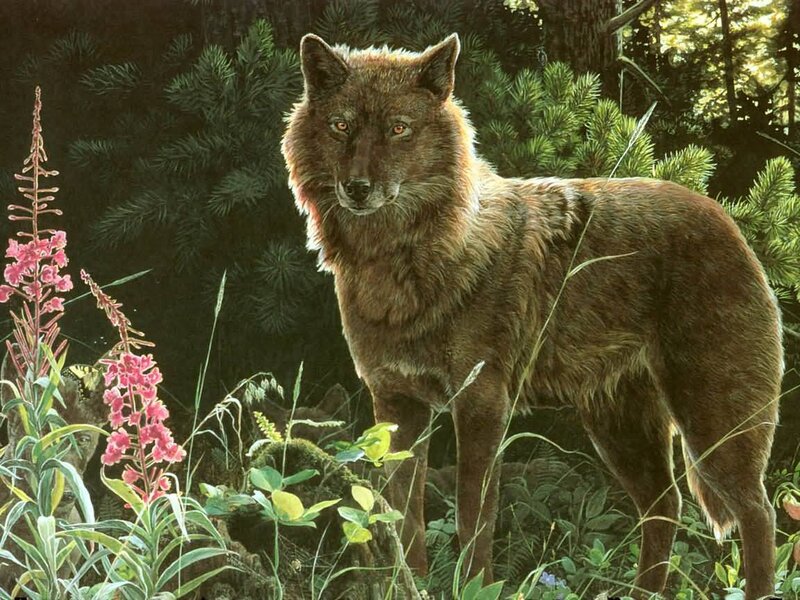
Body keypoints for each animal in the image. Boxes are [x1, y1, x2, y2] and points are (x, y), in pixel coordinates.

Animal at [281, 33, 783, 599]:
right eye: (341, 126)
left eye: (398, 128)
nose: (358, 187)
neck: (405, 262)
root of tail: (726, 218)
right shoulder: (395, 403)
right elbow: (403, 518)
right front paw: (411, 585)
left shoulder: (481, 404)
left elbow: (473, 518)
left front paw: (473, 585)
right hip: (619, 428)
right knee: (665, 507)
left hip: (712, 425)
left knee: (757, 513)